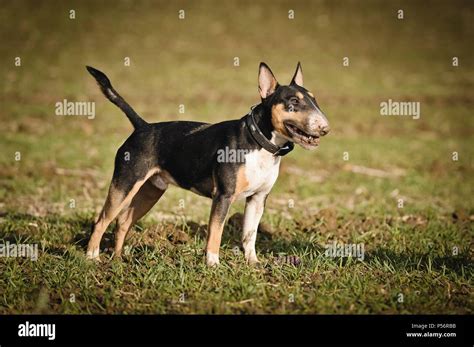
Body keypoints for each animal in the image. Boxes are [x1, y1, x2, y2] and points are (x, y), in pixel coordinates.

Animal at [85, 61, 330, 266]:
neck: (258, 143)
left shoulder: (258, 199)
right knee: (102, 221)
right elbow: (216, 233)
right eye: (293, 102)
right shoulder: (223, 196)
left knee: (123, 222)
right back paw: (92, 257)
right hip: (124, 185)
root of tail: (142, 126)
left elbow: (249, 235)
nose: (325, 128)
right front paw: (213, 265)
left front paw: (253, 264)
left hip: (150, 191)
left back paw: (117, 260)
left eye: (315, 100)